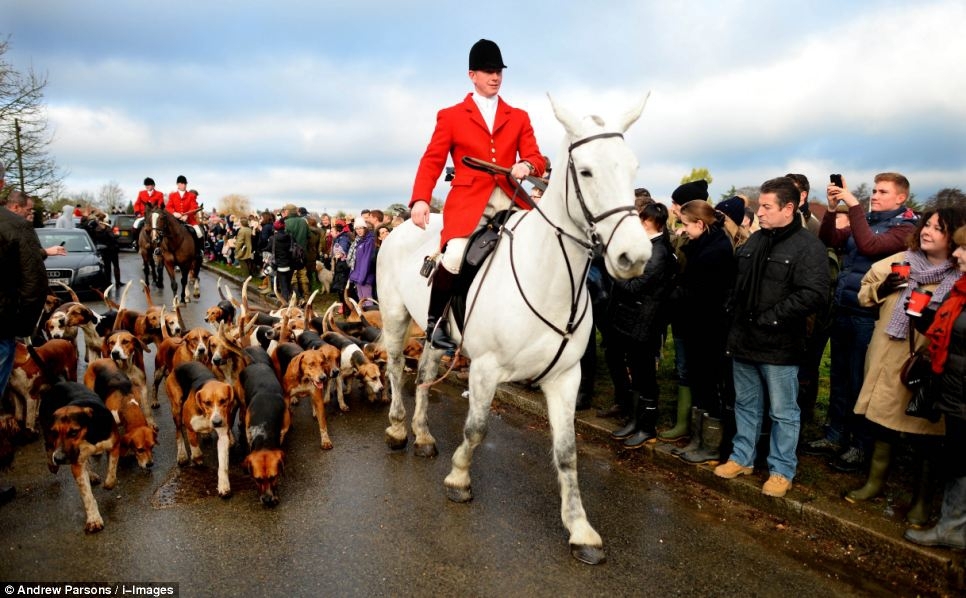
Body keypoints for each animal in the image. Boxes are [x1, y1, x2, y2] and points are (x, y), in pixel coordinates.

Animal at [374, 95, 656, 568]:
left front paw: (580, 529)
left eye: (634, 167)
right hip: (396, 316)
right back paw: (397, 429)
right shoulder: (485, 369)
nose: (634, 257)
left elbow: (567, 452)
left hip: (434, 333)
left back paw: (424, 435)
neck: (551, 277)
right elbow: (476, 429)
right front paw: (459, 479)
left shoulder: (567, 378)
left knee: (426, 375)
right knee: (397, 369)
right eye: (586, 171)